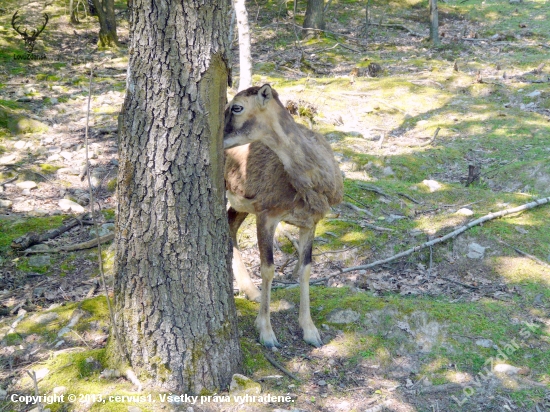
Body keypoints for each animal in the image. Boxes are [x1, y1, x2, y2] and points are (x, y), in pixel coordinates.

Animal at [224, 83, 344, 348]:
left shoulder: (310, 222)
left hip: (240, 204)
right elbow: (267, 268)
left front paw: (311, 331)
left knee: (230, 226)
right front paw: (266, 333)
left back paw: (251, 291)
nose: (218, 137)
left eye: (237, 107)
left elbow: (305, 268)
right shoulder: (266, 214)